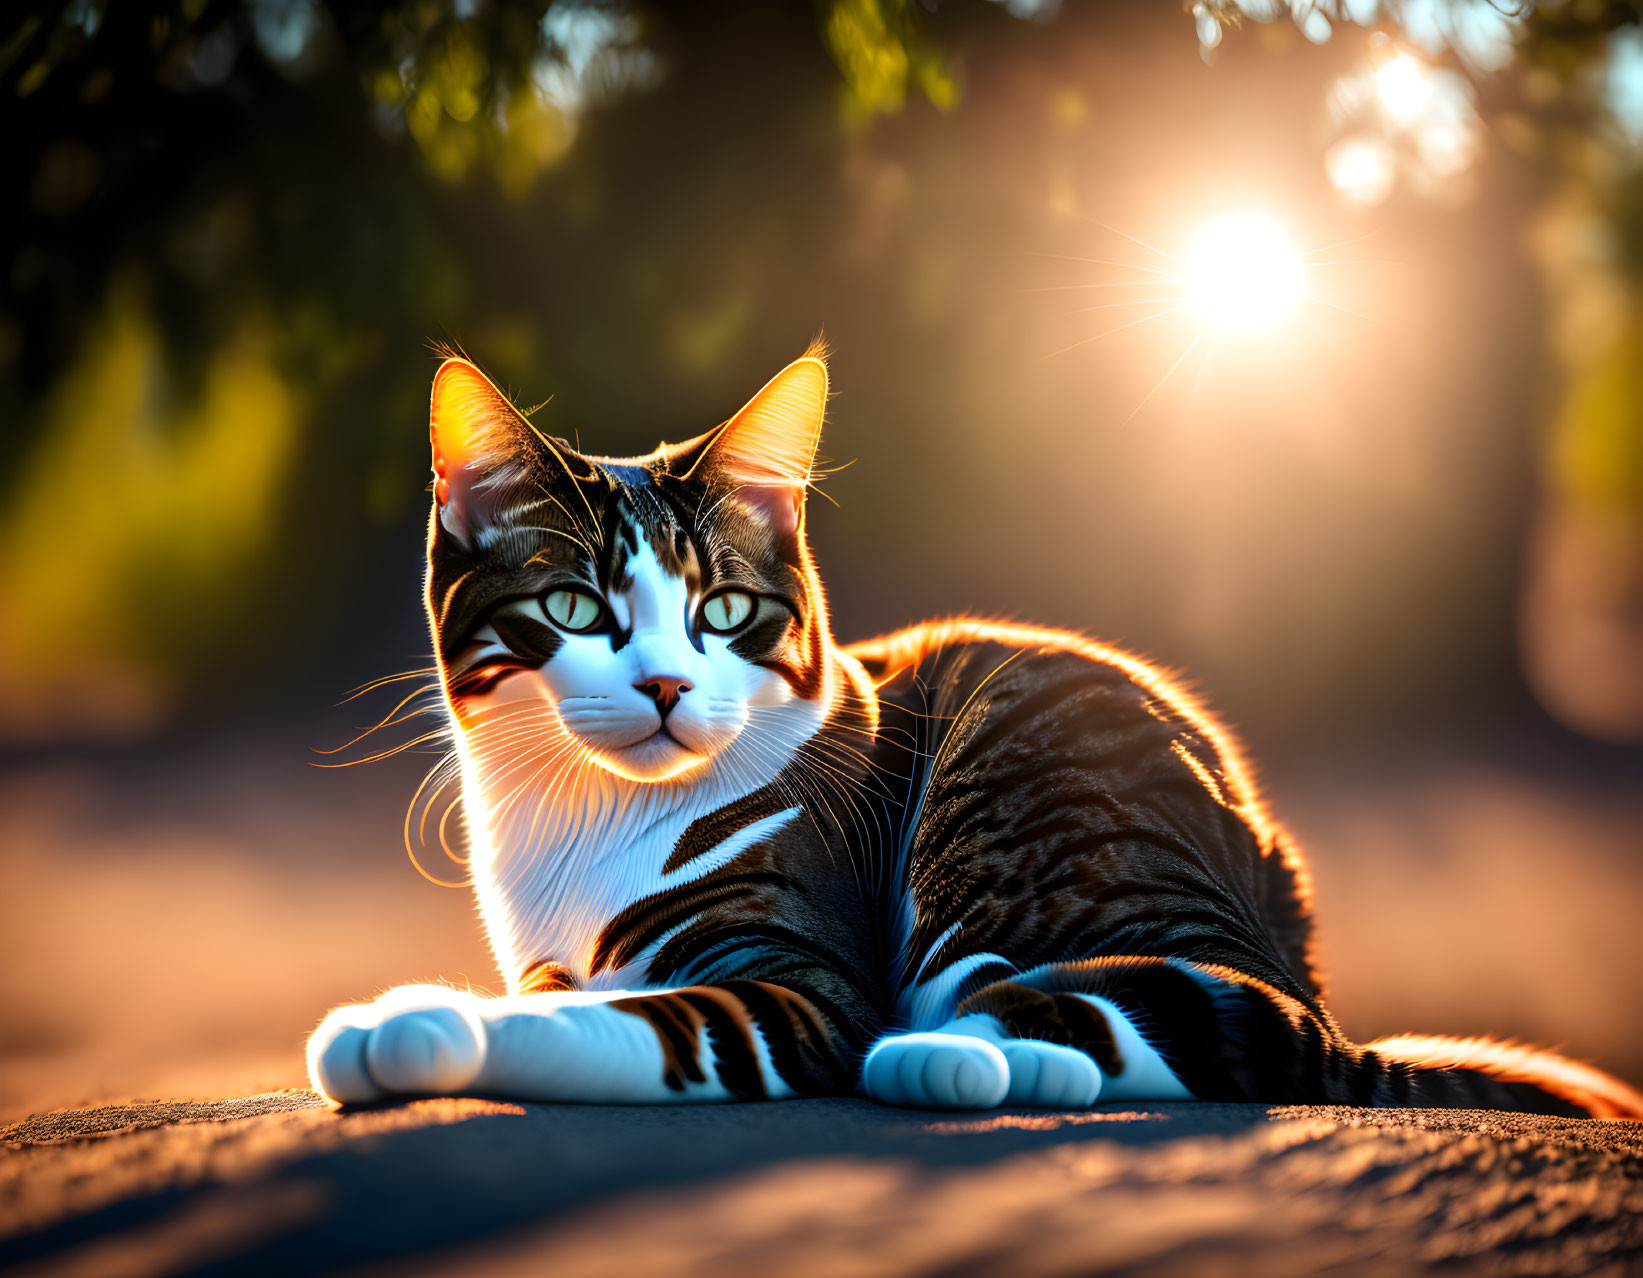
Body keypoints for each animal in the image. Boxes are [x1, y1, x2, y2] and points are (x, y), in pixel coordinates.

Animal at [308, 346, 1643, 1117]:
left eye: (723, 611)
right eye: (574, 609)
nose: (667, 688)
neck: (587, 820)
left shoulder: (800, 977)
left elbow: (639, 1022)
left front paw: (414, 1024)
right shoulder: (551, 951)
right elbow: (566, 992)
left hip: (1016, 812)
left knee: (1233, 1024)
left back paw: (949, 1053)